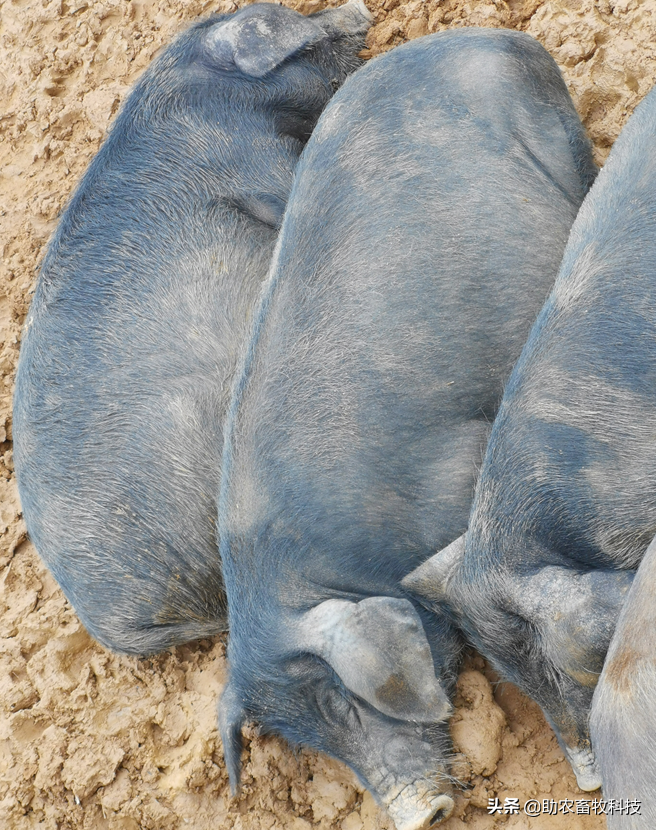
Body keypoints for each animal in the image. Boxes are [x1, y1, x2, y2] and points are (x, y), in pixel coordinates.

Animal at [12, 0, 372, 660]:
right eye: (302, 36)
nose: (358, 10)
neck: (208, 92)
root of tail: (118, 627)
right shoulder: (243, 155)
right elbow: (290, 182)